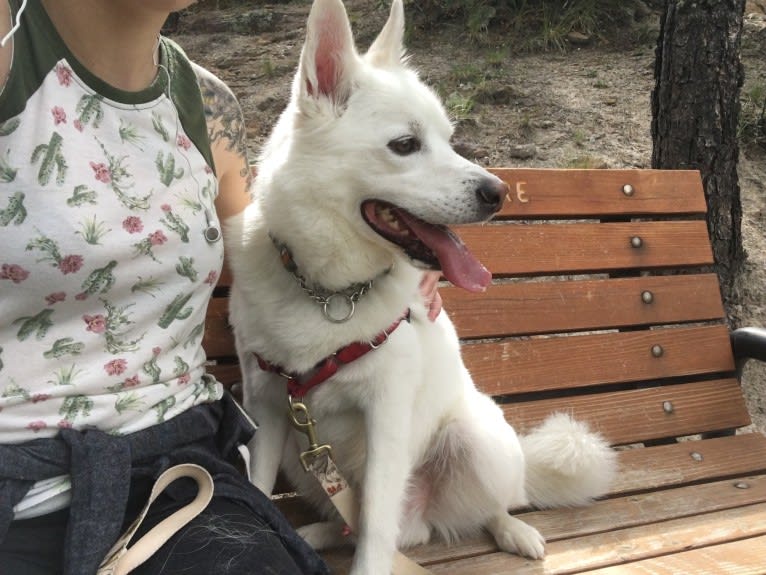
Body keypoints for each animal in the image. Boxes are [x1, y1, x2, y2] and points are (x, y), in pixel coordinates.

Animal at [226, 1, 616, 575]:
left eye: (449, 139)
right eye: (405, 145)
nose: (499, 192)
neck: (331, 295)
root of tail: (424, 518)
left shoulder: (387, 417)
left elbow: (373, 536)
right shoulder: (272, 409)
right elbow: (258, 491)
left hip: (477, 442)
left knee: (481, 508)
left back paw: (514, 530)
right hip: (305, 461)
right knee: (364, 526)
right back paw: (319, 533)